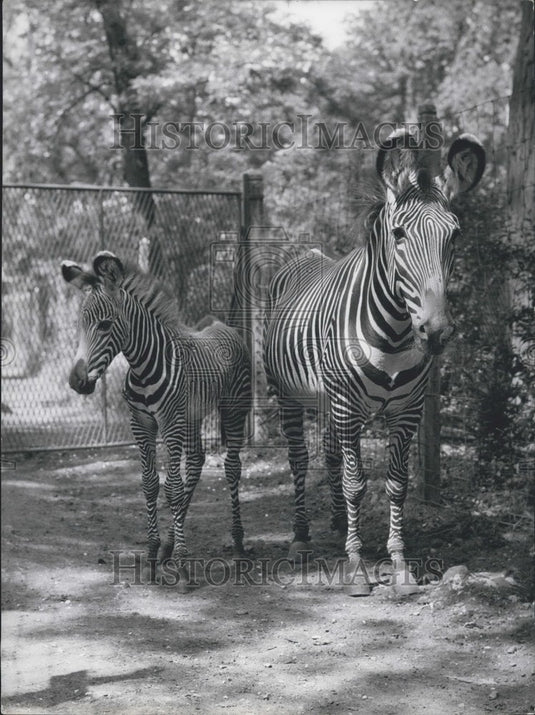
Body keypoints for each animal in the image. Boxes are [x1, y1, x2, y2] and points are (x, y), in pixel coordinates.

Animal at [62, 251, 251, 584]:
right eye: (79, 325)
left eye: (105, 325)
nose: (76, 381)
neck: (142, 367)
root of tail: (221, 325)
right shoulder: (141, 422)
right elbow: (150, 483)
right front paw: (153, 553)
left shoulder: (170, 421)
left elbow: (172, 487)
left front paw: (183, 565)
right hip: (192, 415)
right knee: (197, 461)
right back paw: (169, 546)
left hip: (233, 408)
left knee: (231, 467)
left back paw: (238, 542)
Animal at [264, 130, 485, 595]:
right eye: (399, 234)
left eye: (455, 236)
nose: (437, 332)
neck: (395, 333)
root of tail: (307, 254)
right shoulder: (349, 408)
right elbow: (355, 483)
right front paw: (356, 566)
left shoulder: (408, 411)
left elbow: (396, 485)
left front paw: (399, 565)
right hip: (289, 396)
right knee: (299, 459)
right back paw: (300, 537)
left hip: (329, 401)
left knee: (330, 454)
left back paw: (334, 524)